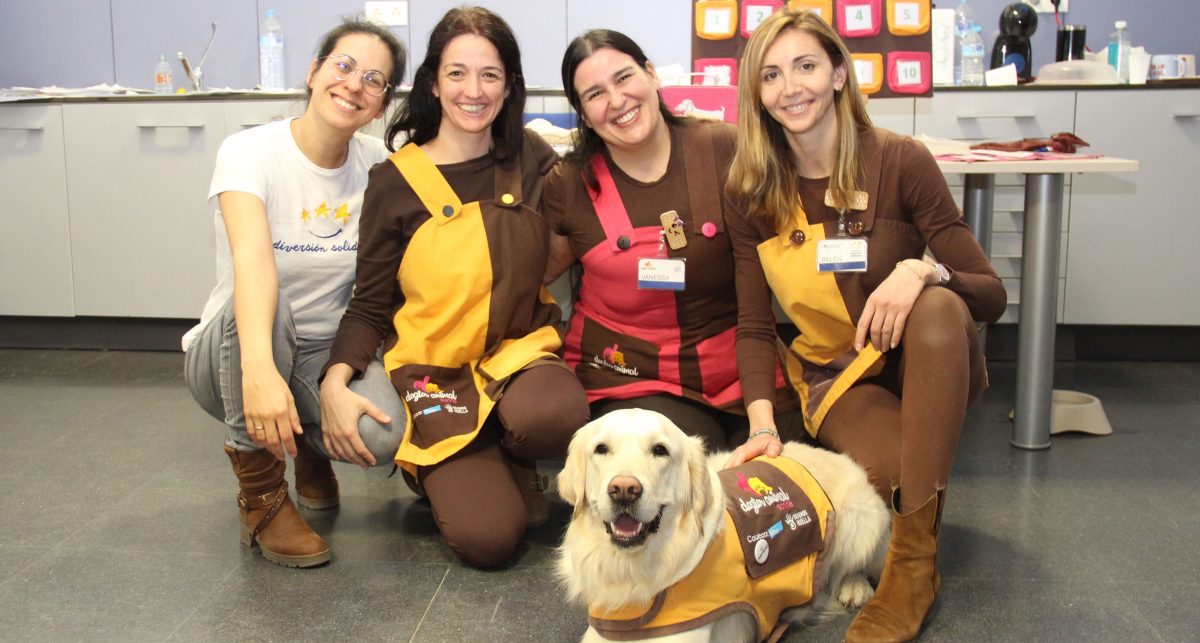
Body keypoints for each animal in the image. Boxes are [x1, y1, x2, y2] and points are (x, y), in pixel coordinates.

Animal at [556, 410, 888, 638]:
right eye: (601, 448)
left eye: (660, 450)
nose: (624, 489)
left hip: (862, 518)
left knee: (856, 564)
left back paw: (855, 587)